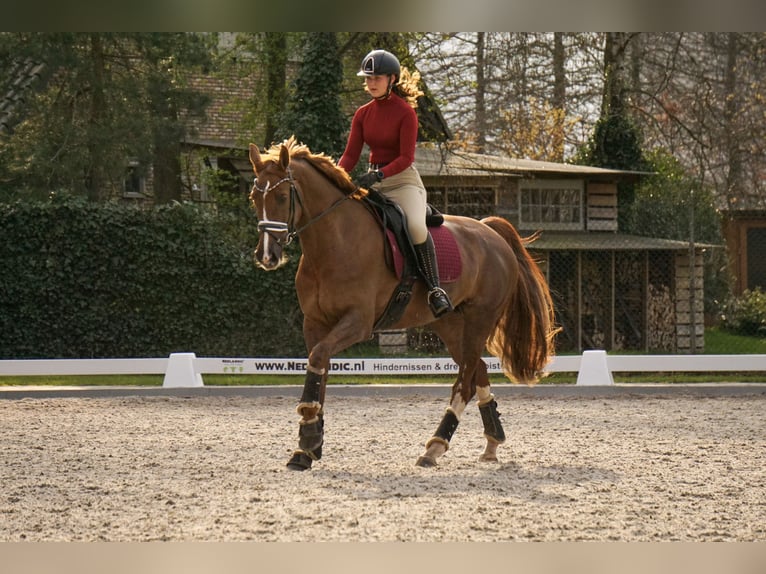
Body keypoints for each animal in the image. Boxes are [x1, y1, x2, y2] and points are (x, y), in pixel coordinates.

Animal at [249, 137, 560, 470]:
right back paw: (491, 442)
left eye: (282, 196)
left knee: (464, 382)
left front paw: (307, 435)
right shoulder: (315, 323)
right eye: (254, 197)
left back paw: (435, 447)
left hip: (480, 319)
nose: (267, 256)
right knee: (476, 369)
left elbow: (318, 358)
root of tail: (491, 232)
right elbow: (319, 369)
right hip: (451, 325)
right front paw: (307, 446)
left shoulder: (358, 322)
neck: (334, 242)